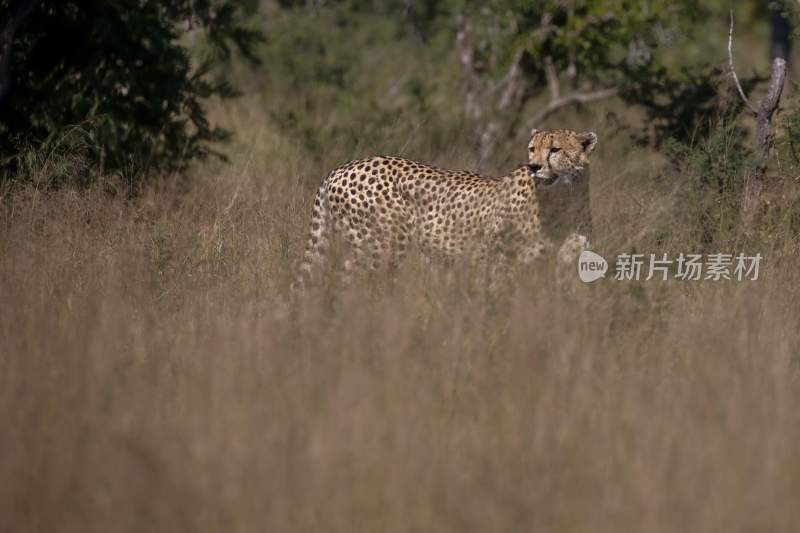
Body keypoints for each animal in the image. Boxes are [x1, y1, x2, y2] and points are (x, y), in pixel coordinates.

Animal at [296, 129, 596, 286]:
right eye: (532, 148)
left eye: (555, 149)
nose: (534, 167)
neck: (563, 199)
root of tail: (340, 168)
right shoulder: (499, 261)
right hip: (383, 245)